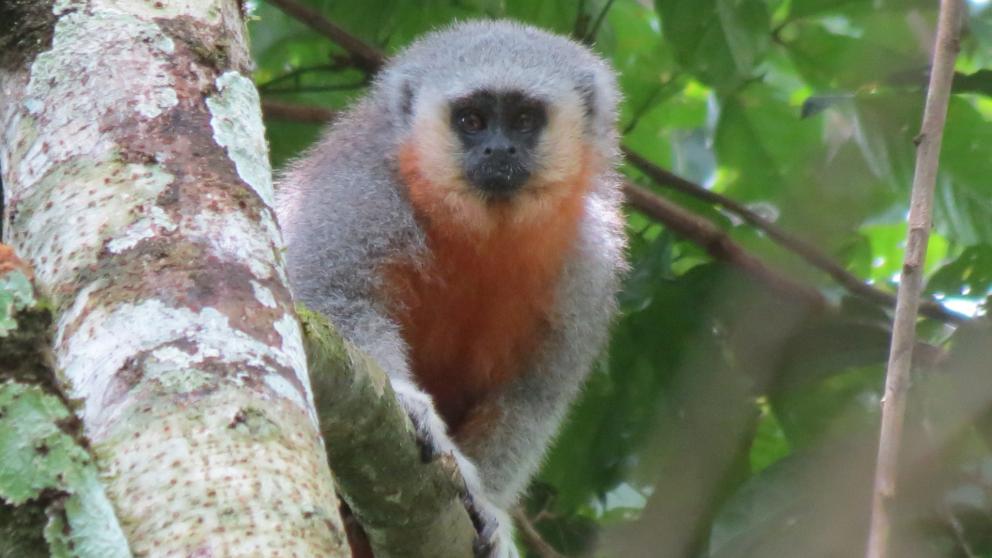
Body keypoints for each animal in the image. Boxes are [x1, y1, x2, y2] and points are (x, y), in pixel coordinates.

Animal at [275, 20, 625, 557]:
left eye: (524, 119)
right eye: (472, 120)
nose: (498, 150)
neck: (481, 229)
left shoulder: (591, 260)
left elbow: (530, 395)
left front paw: (490, 506)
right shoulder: (357, 193)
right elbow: (326, 294)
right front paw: (411, 404)